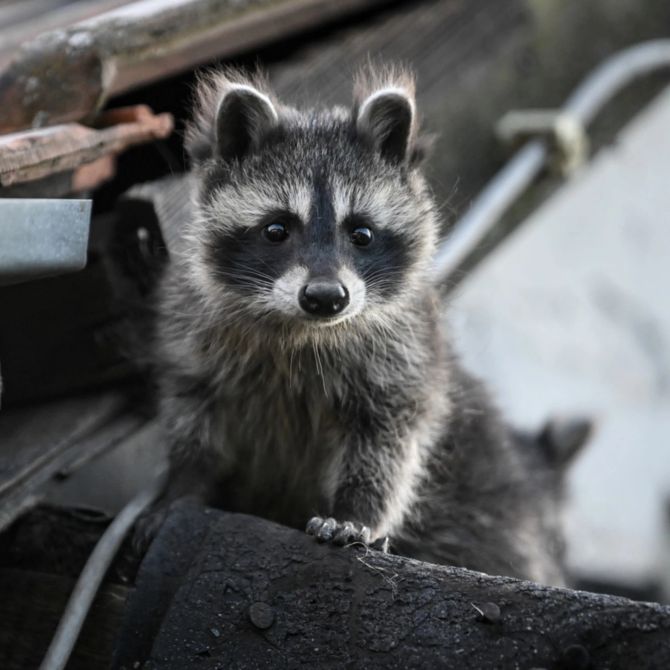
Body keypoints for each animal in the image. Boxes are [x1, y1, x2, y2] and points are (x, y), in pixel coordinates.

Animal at [152, 65, 584, 584]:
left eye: (361, 233)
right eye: (277, 229)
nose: (325, 298)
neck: (304, 331)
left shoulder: (407, 353)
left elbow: (387, 440)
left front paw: (357, 511)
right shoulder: (193, 334)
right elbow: (194, 415)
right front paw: (185, 484)